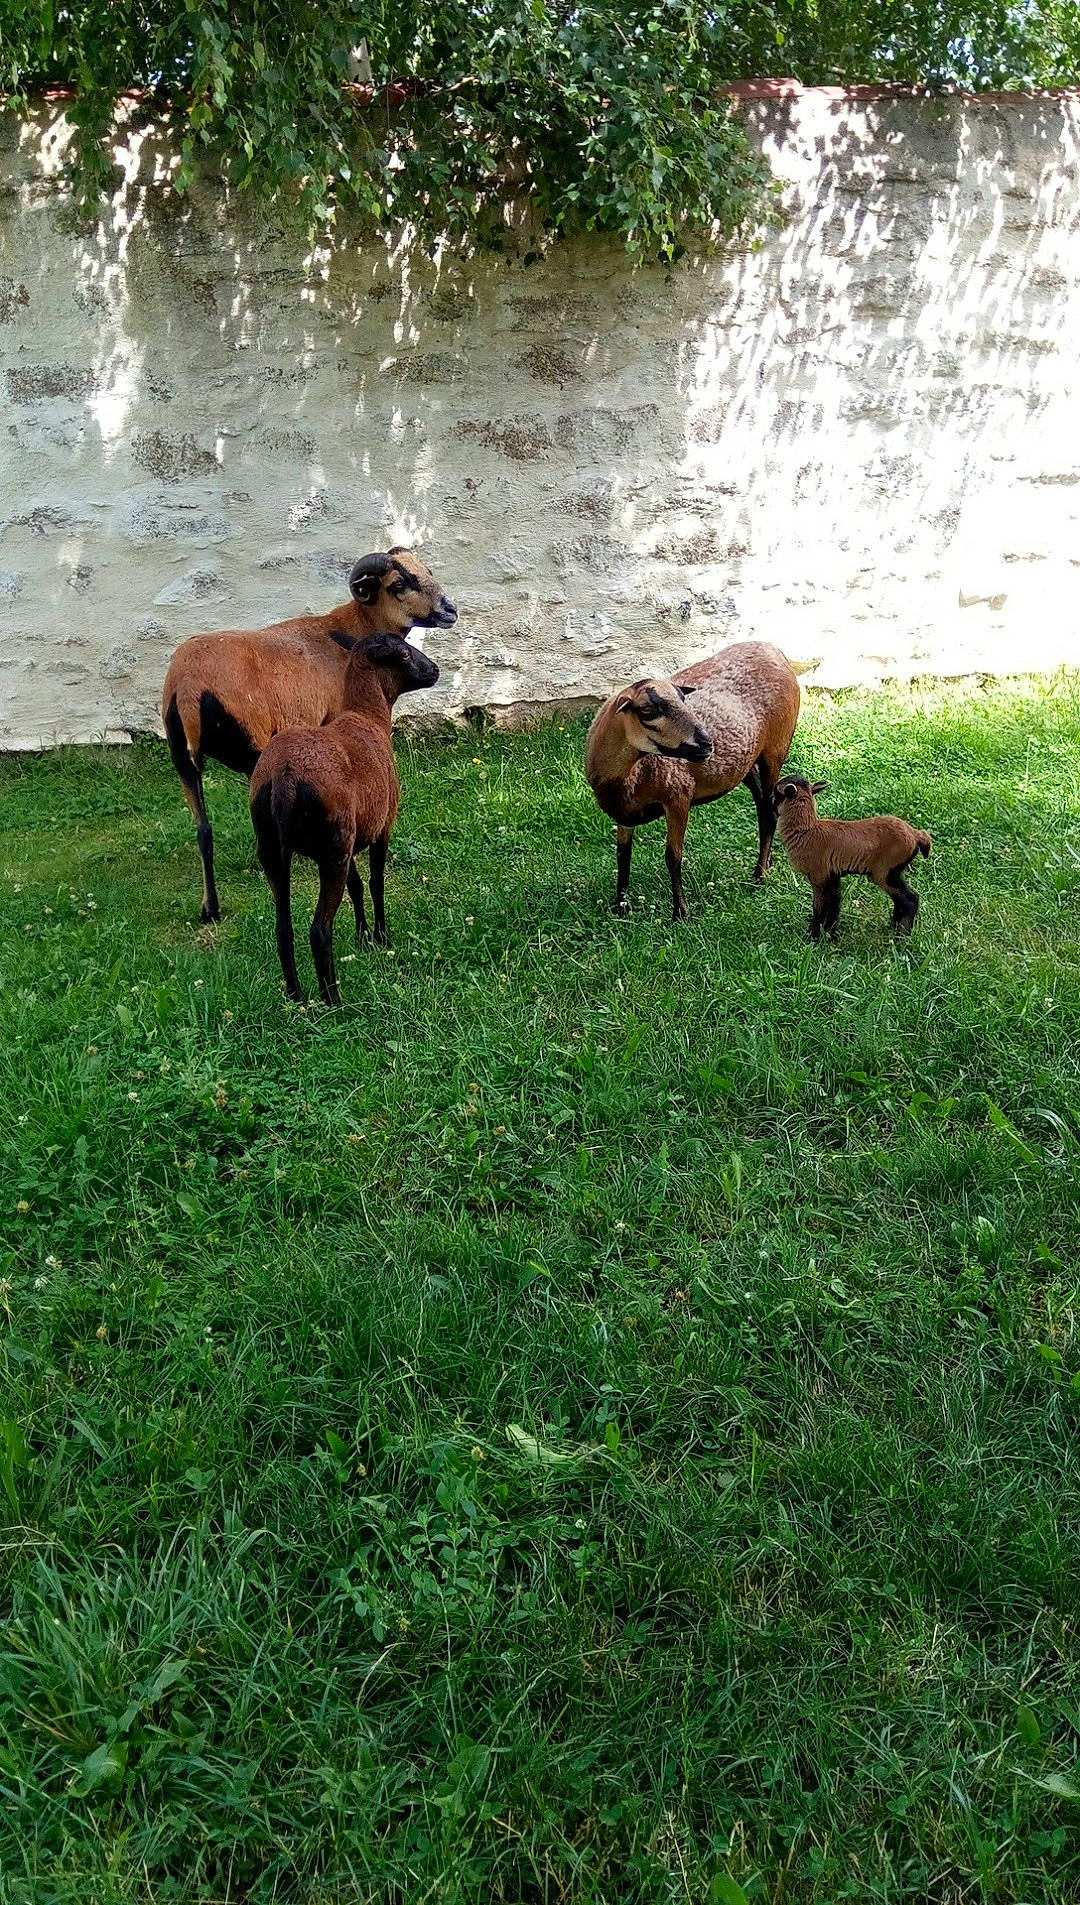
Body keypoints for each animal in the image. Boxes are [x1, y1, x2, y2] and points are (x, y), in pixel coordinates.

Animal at [161, 547, 456, 923]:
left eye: (427, 571)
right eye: (399, 583)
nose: (450, 610)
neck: (349, 628)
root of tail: (188, 687)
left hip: (180, 756)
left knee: (203, 830)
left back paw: (210, 908)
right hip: (255, 750)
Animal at [249, 634, 439, 1007]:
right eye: (404, 653)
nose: (436, 670)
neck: (368, 715)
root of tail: (284, 776)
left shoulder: (352, 838)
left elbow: (357, 885)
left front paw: (363, 937)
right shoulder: (382, 827)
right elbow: (376, 882)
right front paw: (380, 936)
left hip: (276, 848)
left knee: (283, 928)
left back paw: (296, 996)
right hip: (331, 847)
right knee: (319, 930)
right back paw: (333, 1001)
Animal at [584, 642, 801, 920]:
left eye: (683, 698)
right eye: (647, 710)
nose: (707, 744)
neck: (628, 776)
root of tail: (772, 649)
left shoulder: (678, 796)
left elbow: (673, 856)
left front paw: (680, 913)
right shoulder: (624, 814)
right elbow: (623, 855)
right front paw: (620, 907)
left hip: (776, 749)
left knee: (768, 813)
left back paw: (760, 875)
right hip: (746, 763)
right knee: (764, 803)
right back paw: (768, 862)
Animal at [773, 774, 932, 939]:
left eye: (776, 793)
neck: (807, 830)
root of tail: (915, 834)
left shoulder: (818, 876)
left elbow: (820, 907)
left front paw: (812, 937)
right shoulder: (832, 875)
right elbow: (835, 903)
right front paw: (831, 934)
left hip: (885, 872)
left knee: (910, 900)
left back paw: (901, 936)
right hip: (892, 871)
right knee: (902, 900)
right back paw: (893, 927)